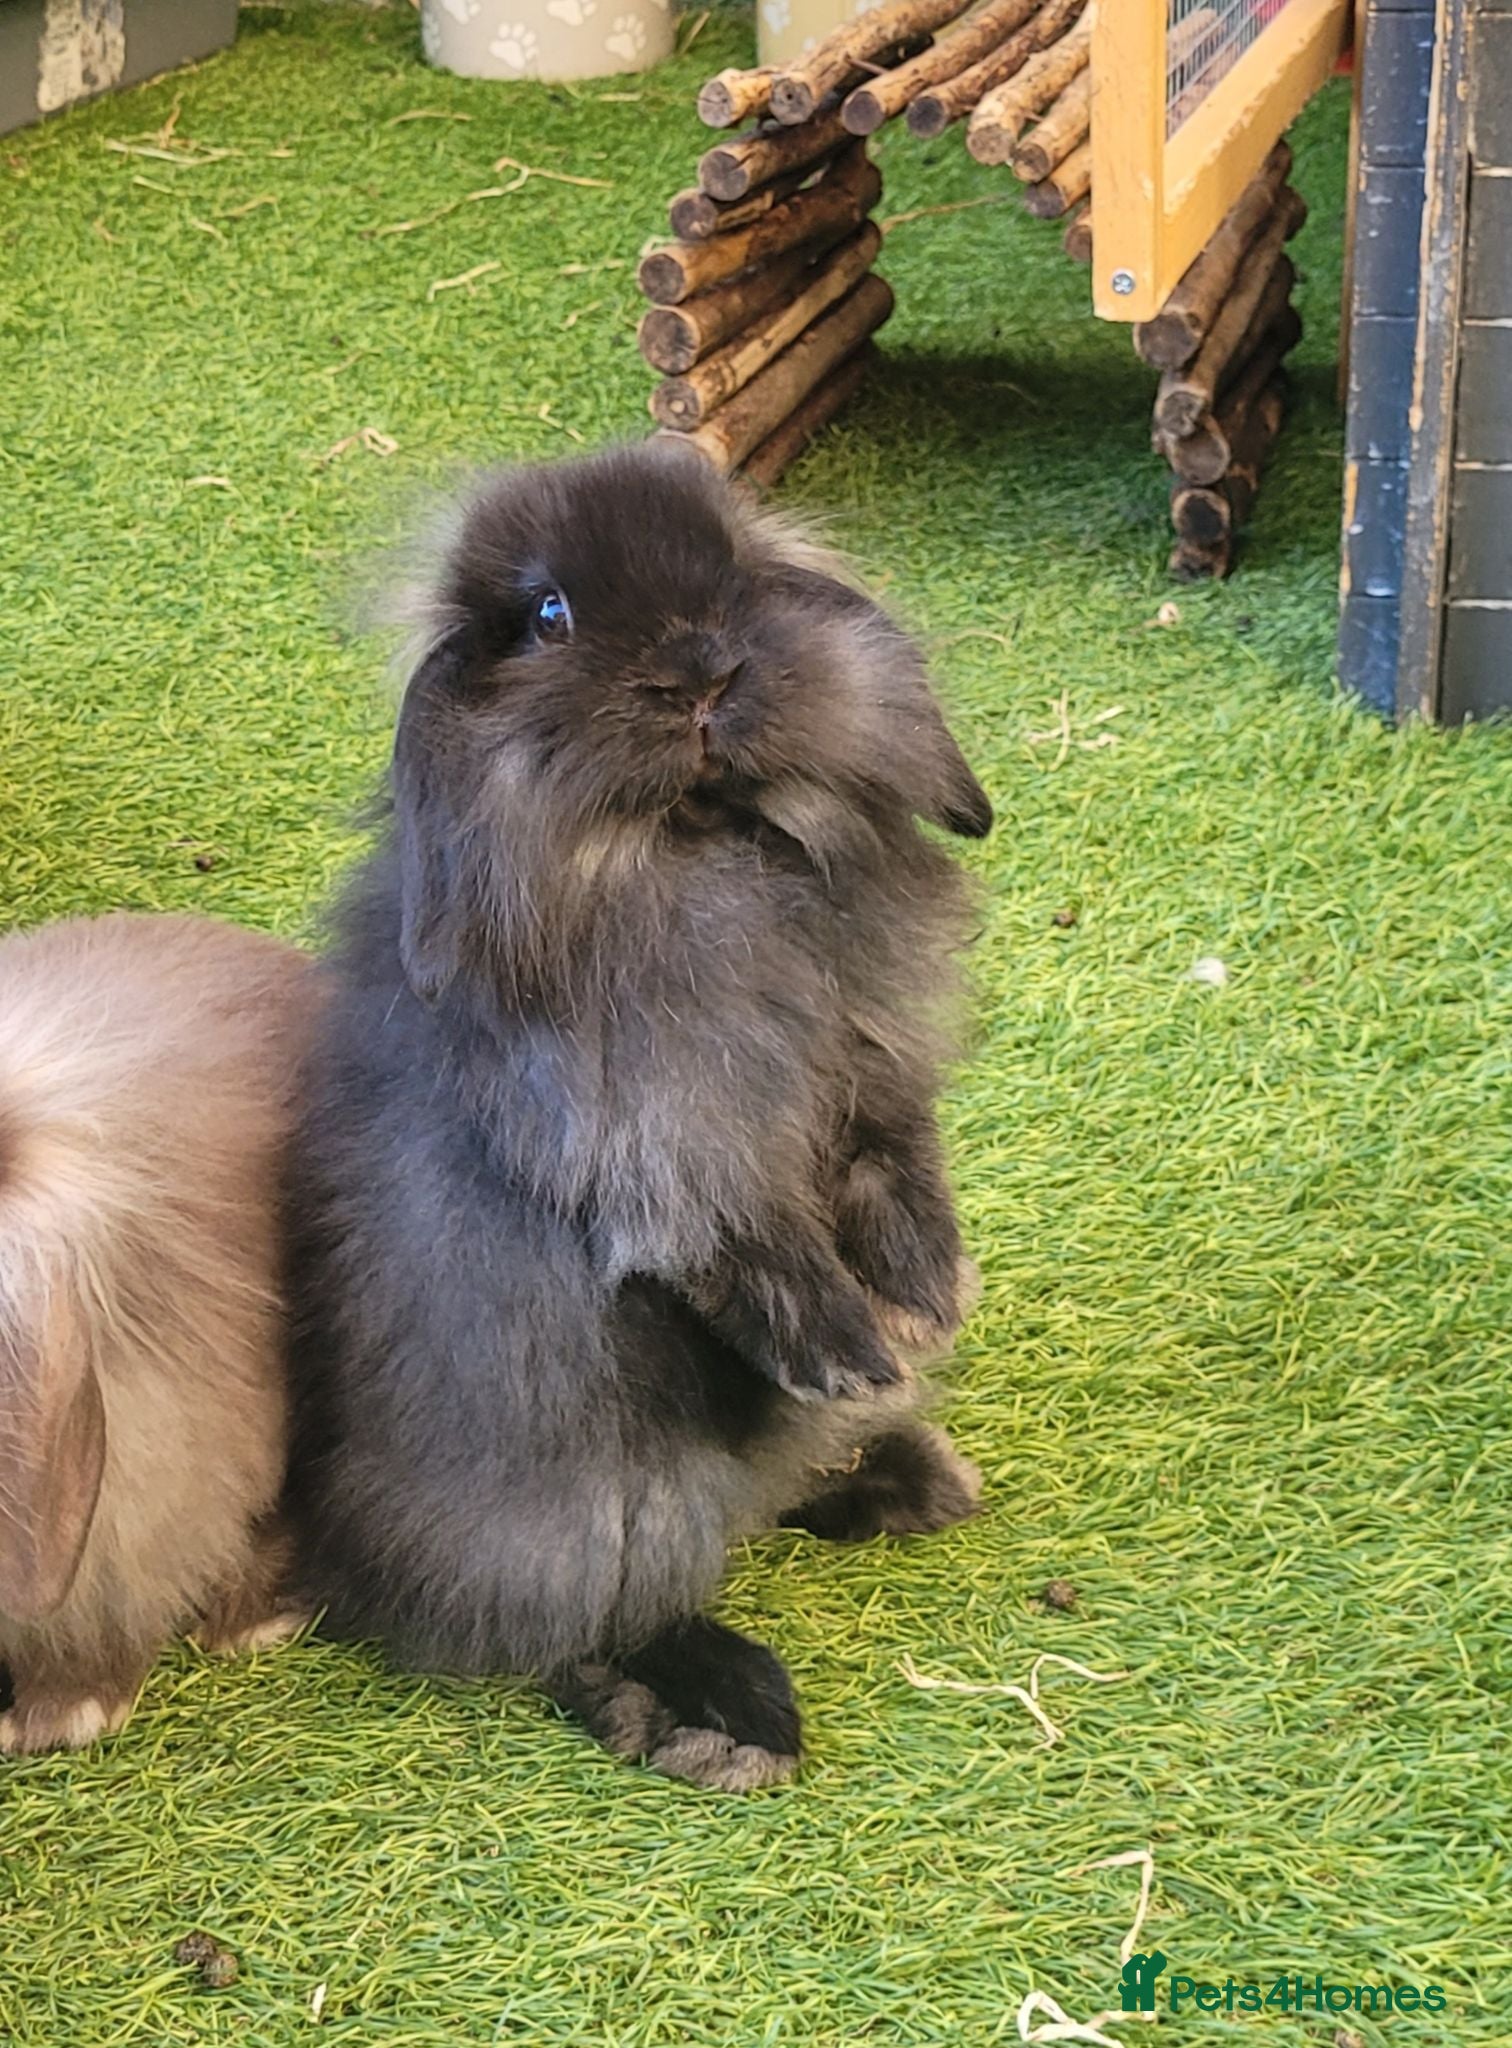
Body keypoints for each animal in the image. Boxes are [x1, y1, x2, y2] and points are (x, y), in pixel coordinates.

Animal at [286, 441, 991, 1790]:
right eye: (549, 616)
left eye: (733, 573)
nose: (704, 675)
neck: (691, 845)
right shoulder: (655, 1142)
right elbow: (751, 1247)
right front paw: (854, 1348)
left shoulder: (875, 1073)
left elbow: (898, 1171)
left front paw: (931, 1300)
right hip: (612, 1497)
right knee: (579, 1624)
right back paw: (719, 1709)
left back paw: (907, 1476)